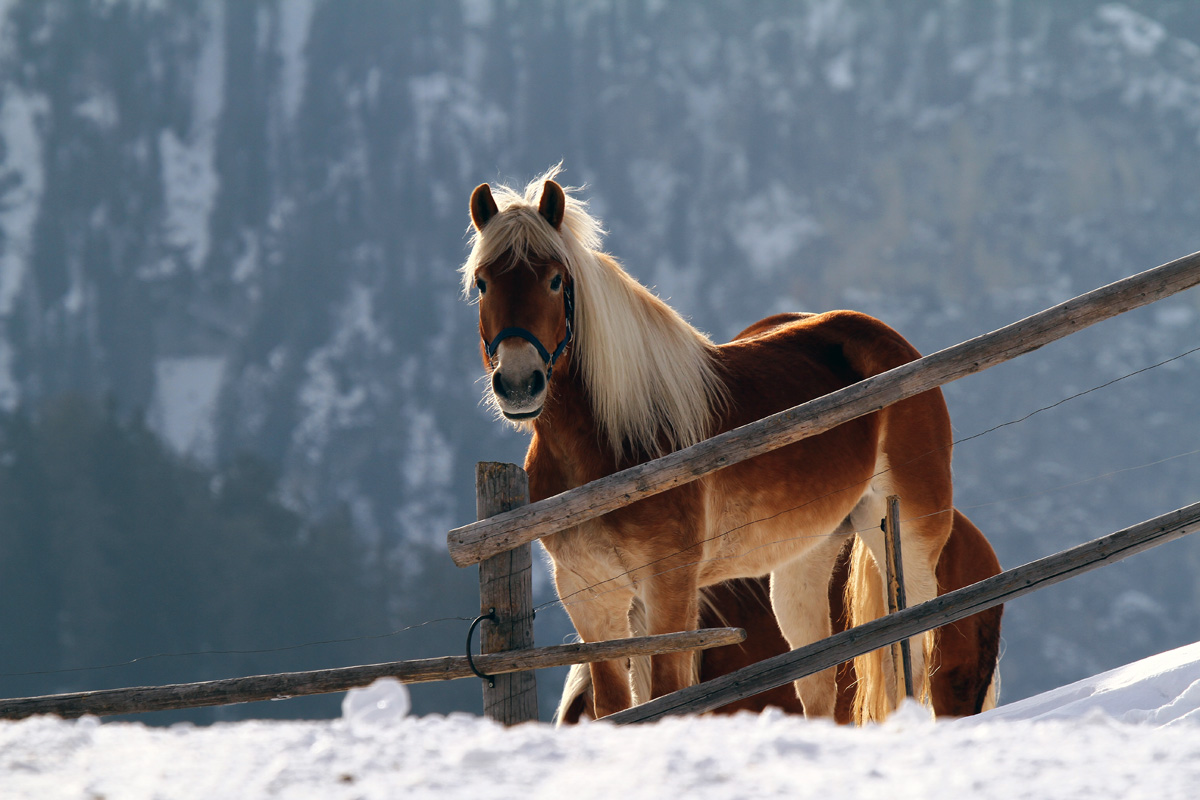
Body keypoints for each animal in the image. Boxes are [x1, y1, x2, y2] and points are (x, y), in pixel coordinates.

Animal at [463, 168, 955, 719]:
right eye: (483, 282)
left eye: (553, 279)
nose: (519, 384)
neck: (610, 450)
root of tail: (891, 343)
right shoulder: (588, 593)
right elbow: (615, 707)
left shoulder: (669, 585)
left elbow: (667, 695)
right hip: (805, 558)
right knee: (820, 682)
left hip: (908, 534)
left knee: (907, 655)